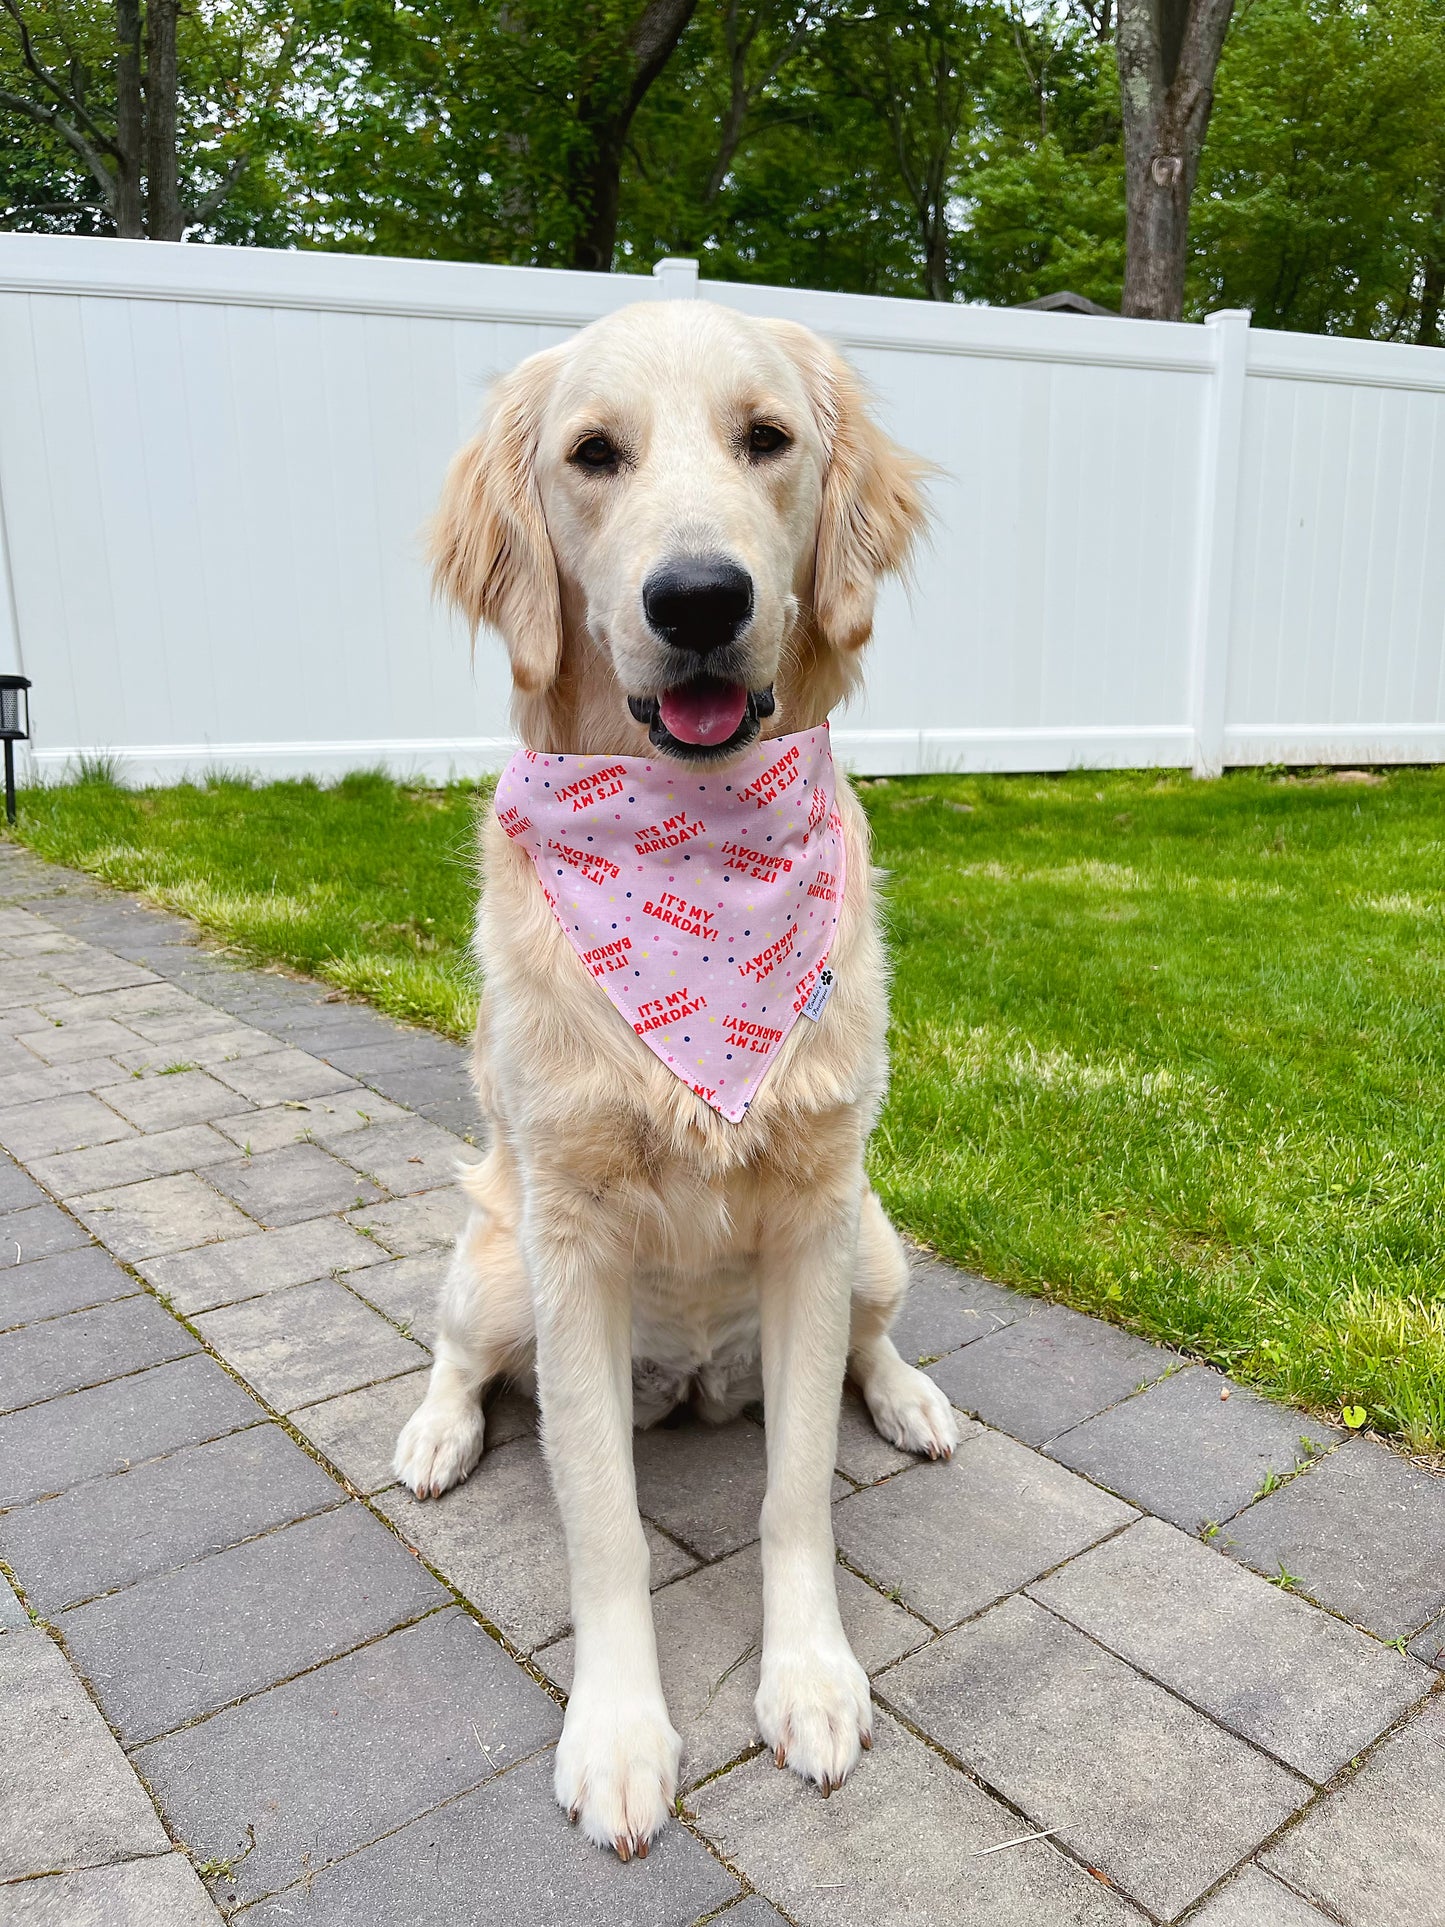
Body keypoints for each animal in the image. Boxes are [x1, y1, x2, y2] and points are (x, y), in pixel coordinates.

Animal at [398, 304, 963, 1865]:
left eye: (766, 437)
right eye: (595, 454)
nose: (701, 598)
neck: (696, 845)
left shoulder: (817, 1218)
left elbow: (795, 1495)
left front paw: (812, 1680)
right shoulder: (573, 1242)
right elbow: (600, 1521)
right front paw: (618, 1738)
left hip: (874, 1240)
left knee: (863, 1350)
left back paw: (909, 1399)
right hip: (497, 1264)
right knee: (459, 1352)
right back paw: (436, 1430)